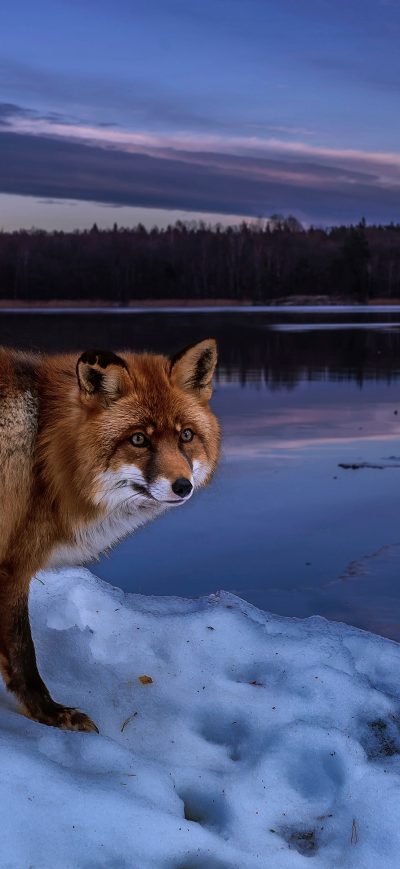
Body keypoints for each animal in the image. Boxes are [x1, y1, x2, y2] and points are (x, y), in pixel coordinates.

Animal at [0, 338, 219, 733]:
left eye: (186, 435)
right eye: (139, 439)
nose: (183, 486)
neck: (44, 452)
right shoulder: (12, 567)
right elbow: (24, 654)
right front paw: (50, 714)